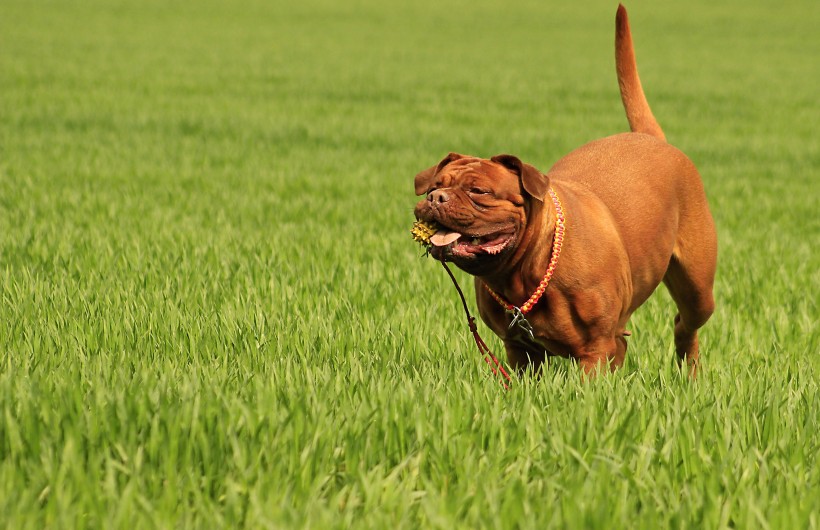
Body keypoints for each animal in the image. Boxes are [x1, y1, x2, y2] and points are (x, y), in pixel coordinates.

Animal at [414, 5, 716, 376]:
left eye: (479, 191)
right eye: (433, 187)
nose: (435, 198)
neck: (525, 270)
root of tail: (651, 138)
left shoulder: (594, 351)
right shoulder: (520, 350)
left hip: (697, 288)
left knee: (686, 323)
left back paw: (690, 371)